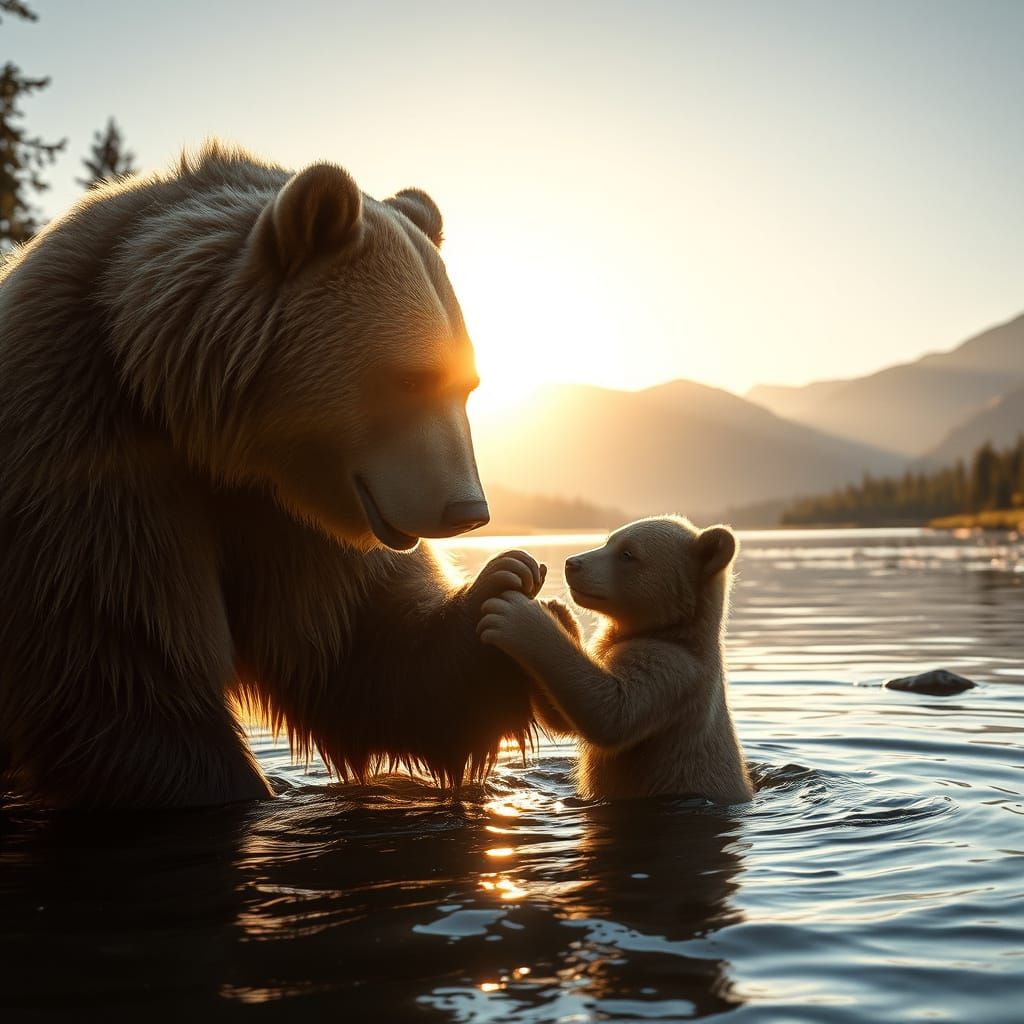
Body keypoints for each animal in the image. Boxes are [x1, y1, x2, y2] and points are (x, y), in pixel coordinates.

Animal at [0, 142, 543, 808]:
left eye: (467, 385)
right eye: (411, 379)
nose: (468, 511)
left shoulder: (287, 514)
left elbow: (355, 649)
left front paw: (506, 590)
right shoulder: (83, 447)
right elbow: (124, 656)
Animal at [477, 517, 753, 804]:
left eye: (627, 553)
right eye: (608, 540)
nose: (572, 563)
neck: (674, 631)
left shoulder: (675, 671)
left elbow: (611, 712)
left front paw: (518, 617)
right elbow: (563, 716)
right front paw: (557, 610)